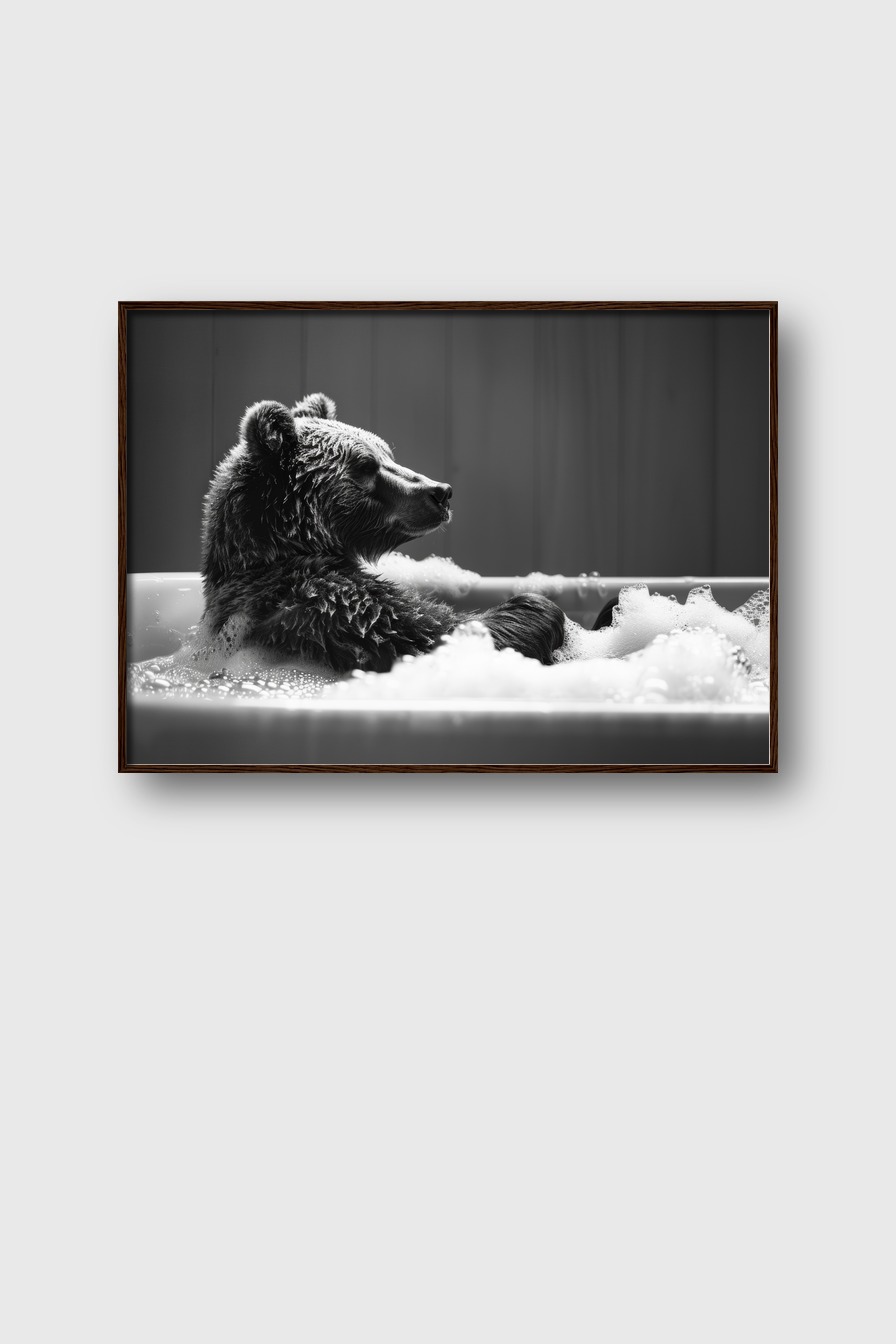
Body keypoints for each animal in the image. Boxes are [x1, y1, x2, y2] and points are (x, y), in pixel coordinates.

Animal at [200, 392, 566, 674]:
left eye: (387, 454)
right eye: (364, 466)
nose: (441, 492)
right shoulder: (328, 605)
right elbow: (426, 633)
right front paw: (534, 608)